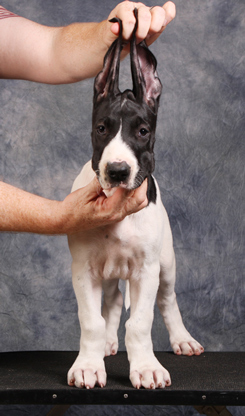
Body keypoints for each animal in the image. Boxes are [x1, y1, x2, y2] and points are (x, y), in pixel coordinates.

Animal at [67, 12, 203, 390]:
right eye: (102, 128)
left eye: (142, 132)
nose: (117, 171)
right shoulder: (84, 270)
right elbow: (92, 321)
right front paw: (89, 364)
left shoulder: (146, 270)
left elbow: (140, 323)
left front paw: (145, 368)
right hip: (109, 273)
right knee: (112, 303)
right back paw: (107, 344)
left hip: (166, 265)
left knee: (168, 301)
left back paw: (183, 340)